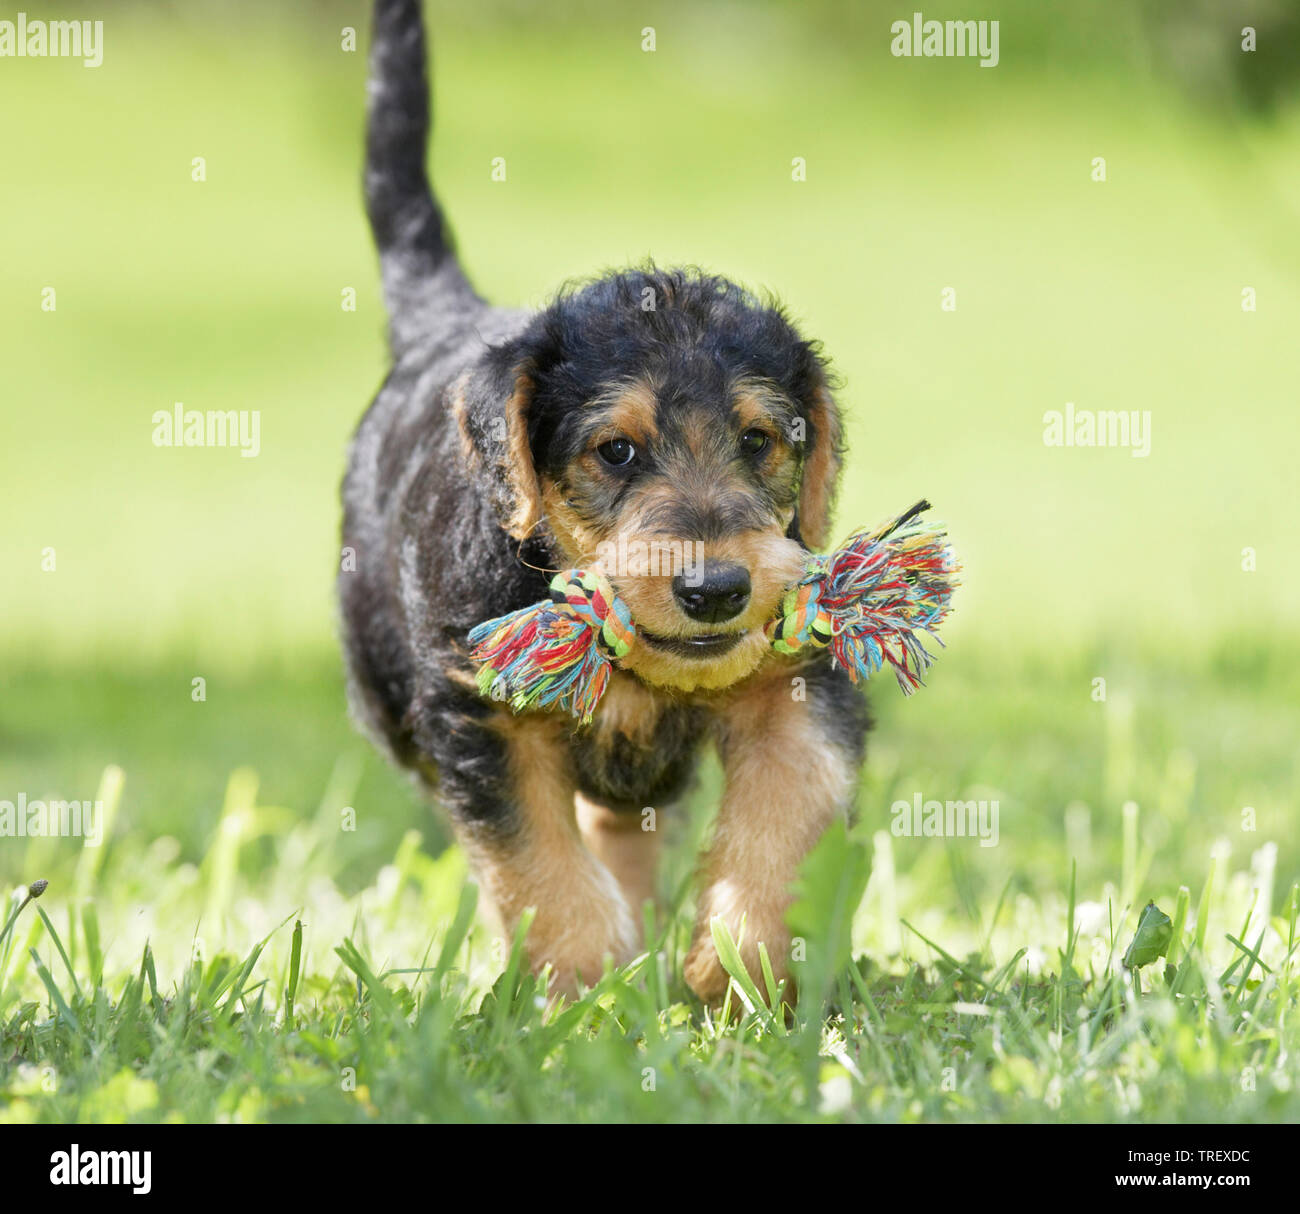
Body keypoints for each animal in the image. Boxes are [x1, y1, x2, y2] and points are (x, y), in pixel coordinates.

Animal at [340, 2, 868, 1008]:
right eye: (614, 450)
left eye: (759, 440)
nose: (715, 591)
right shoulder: (484, 713)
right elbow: (536, 863)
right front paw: (581, 995)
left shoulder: (798, 684)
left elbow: (782, 821)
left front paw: (735, 967)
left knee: (625, 820)